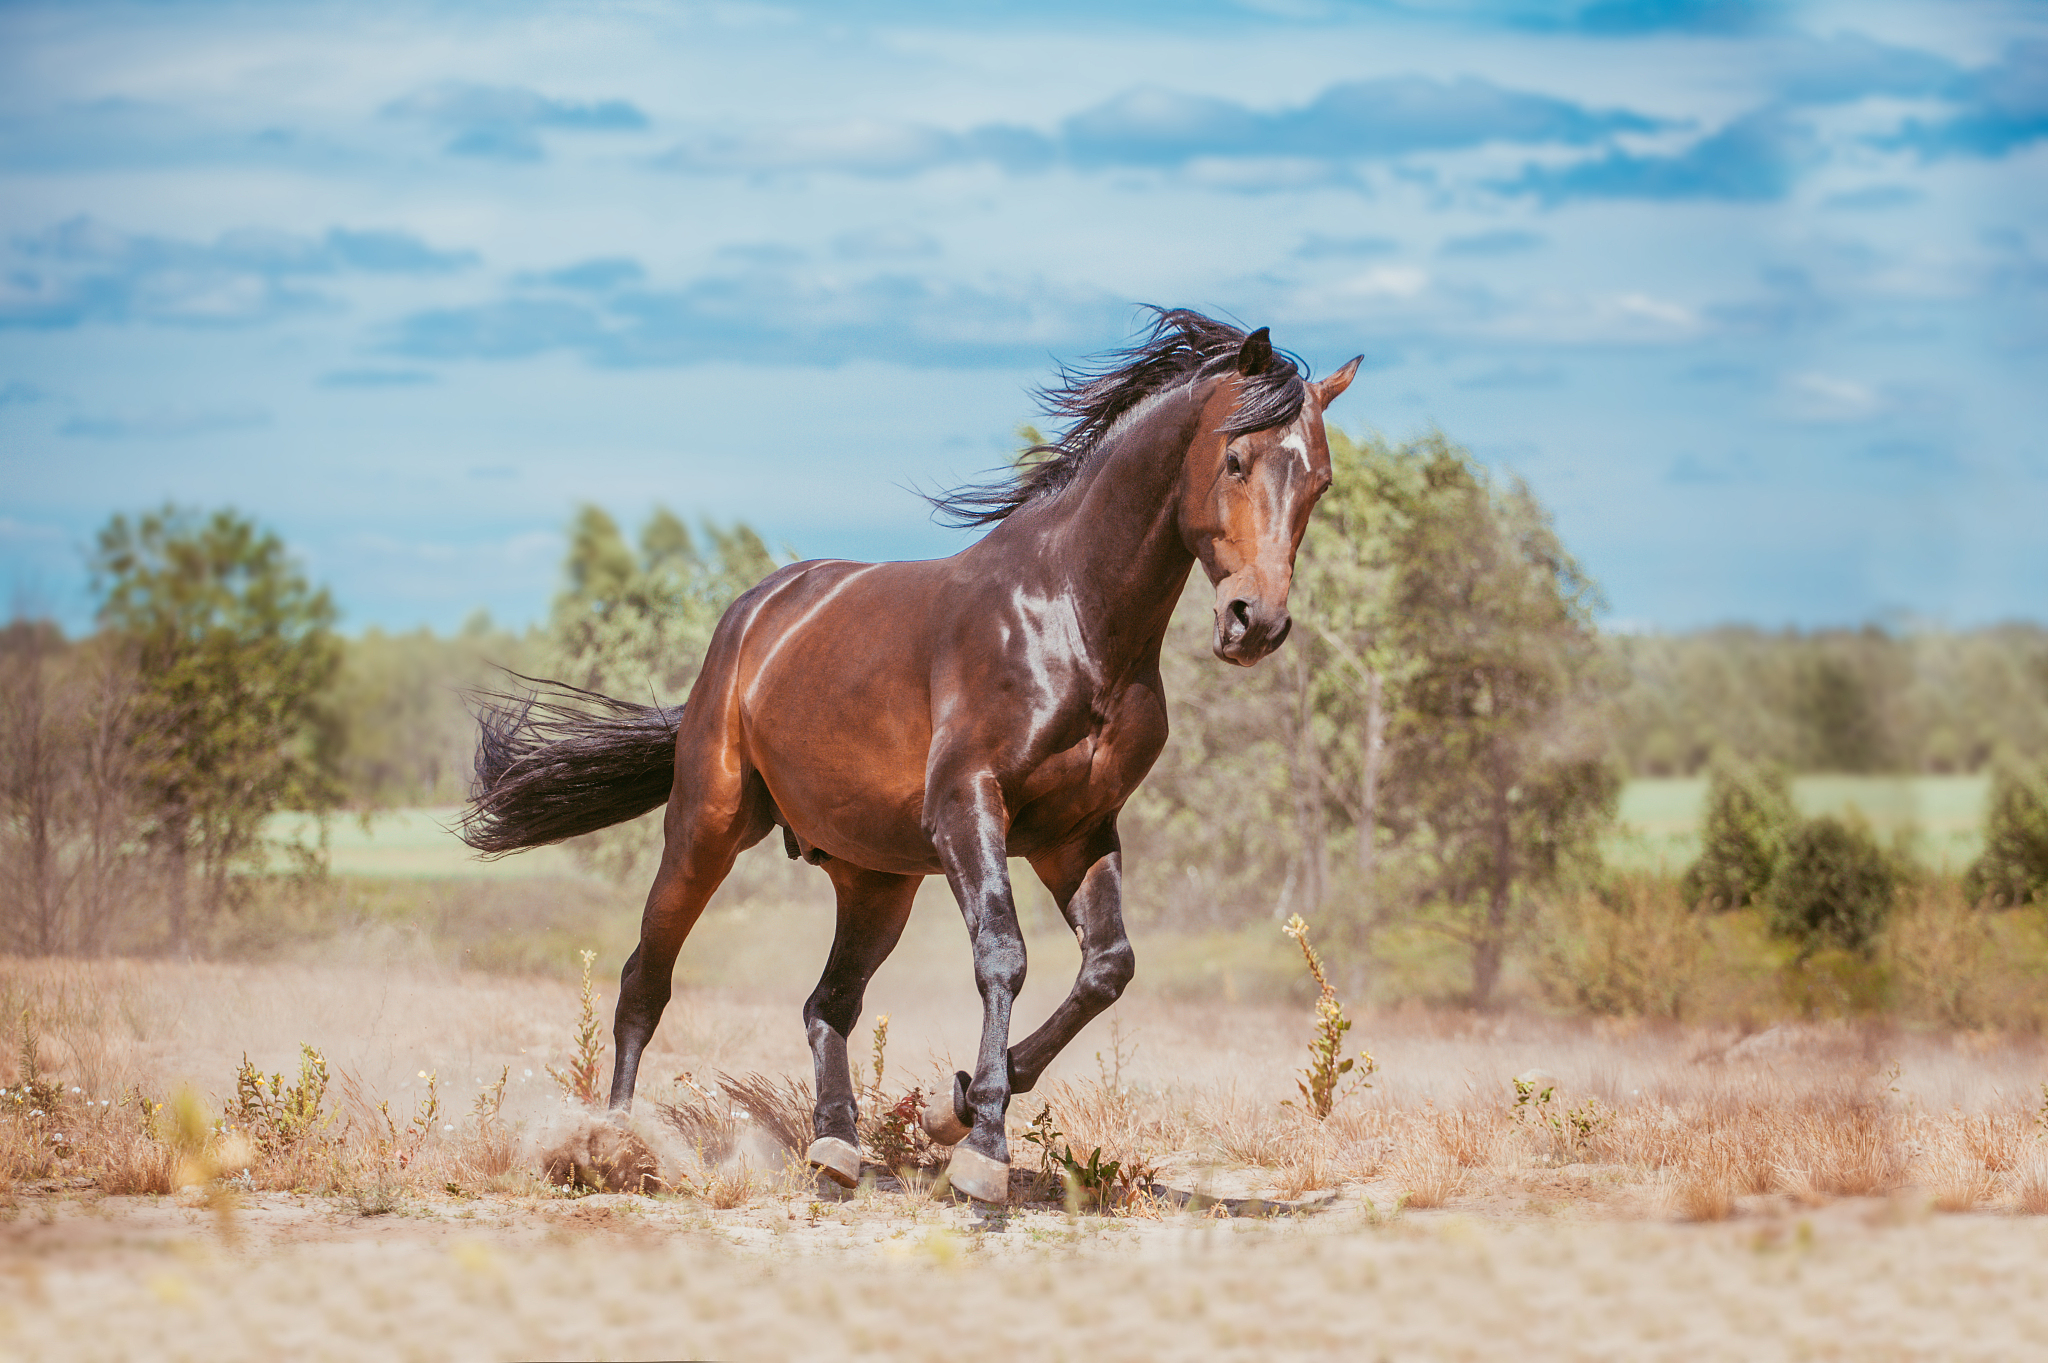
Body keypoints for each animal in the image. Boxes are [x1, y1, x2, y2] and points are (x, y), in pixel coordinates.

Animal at [460, 308, 1361, 1203]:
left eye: (1318, 483)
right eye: (1236, 459)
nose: (1255, 621)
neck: (1070, 617)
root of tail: (753, 617)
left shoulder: (1077, 833)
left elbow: (1107, 968)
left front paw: (952, 1106)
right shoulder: (968, 804)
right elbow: (1003, 954)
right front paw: (983, 1145)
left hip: (877, 881)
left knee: (827, 1004)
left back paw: (835, 1146)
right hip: (707, 825)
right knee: (644, 981)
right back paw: (611, 1145)